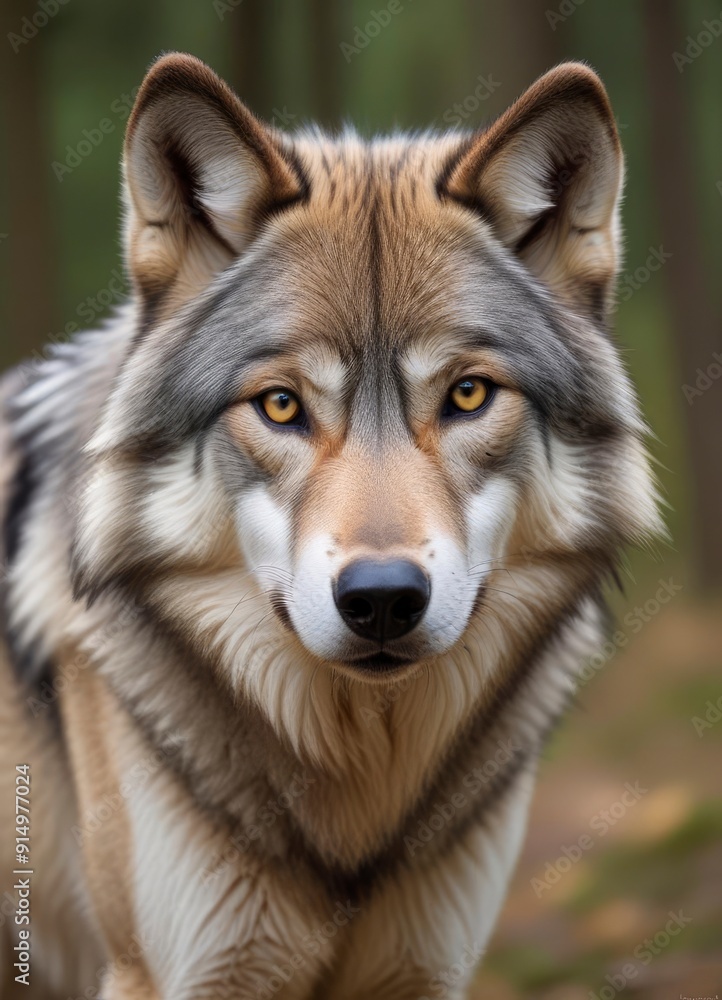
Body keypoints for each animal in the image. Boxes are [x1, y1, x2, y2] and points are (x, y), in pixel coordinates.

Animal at [0, 54, 662, 999]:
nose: (382, 598)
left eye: (468, 394)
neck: (358, 800)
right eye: (281, 405)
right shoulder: (170, 974)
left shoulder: (424, 970)